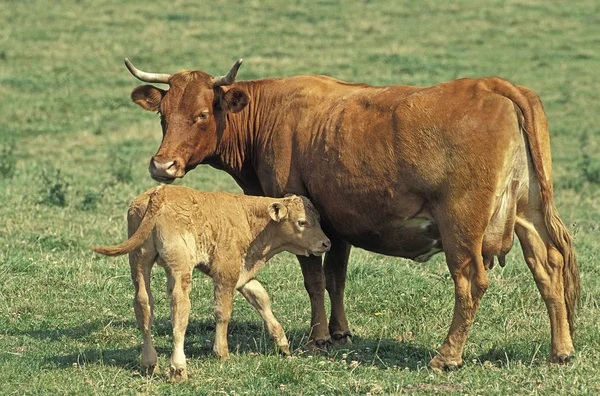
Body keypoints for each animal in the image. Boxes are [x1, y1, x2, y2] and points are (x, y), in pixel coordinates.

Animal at [91, 187, 330, 382]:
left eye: (318, 219)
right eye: (302, 222)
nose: (326, 243)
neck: (246, 218)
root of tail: (161, 191)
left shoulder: (242, 274)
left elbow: (261, 298)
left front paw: (281, 343)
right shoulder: (226, 273)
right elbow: (223, 312)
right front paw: (221, 352)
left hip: (140, 261)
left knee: (143, 304)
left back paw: (150, 363)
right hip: (180, 269)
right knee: (179, 309)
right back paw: (178, 368)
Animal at [123, 58, 580, 372]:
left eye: (202, 114)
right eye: (163, 115)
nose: (162, 166)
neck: (272, 114)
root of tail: (494, 85)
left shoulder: (304, 221)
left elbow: (313, 279)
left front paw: (319, 337)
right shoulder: (336, 222)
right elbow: (335, 278)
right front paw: (340, 331)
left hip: (461, 228)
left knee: (471, 283)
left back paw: (447, 356)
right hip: (529, 216)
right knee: (549, 268)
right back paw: (561, 349)